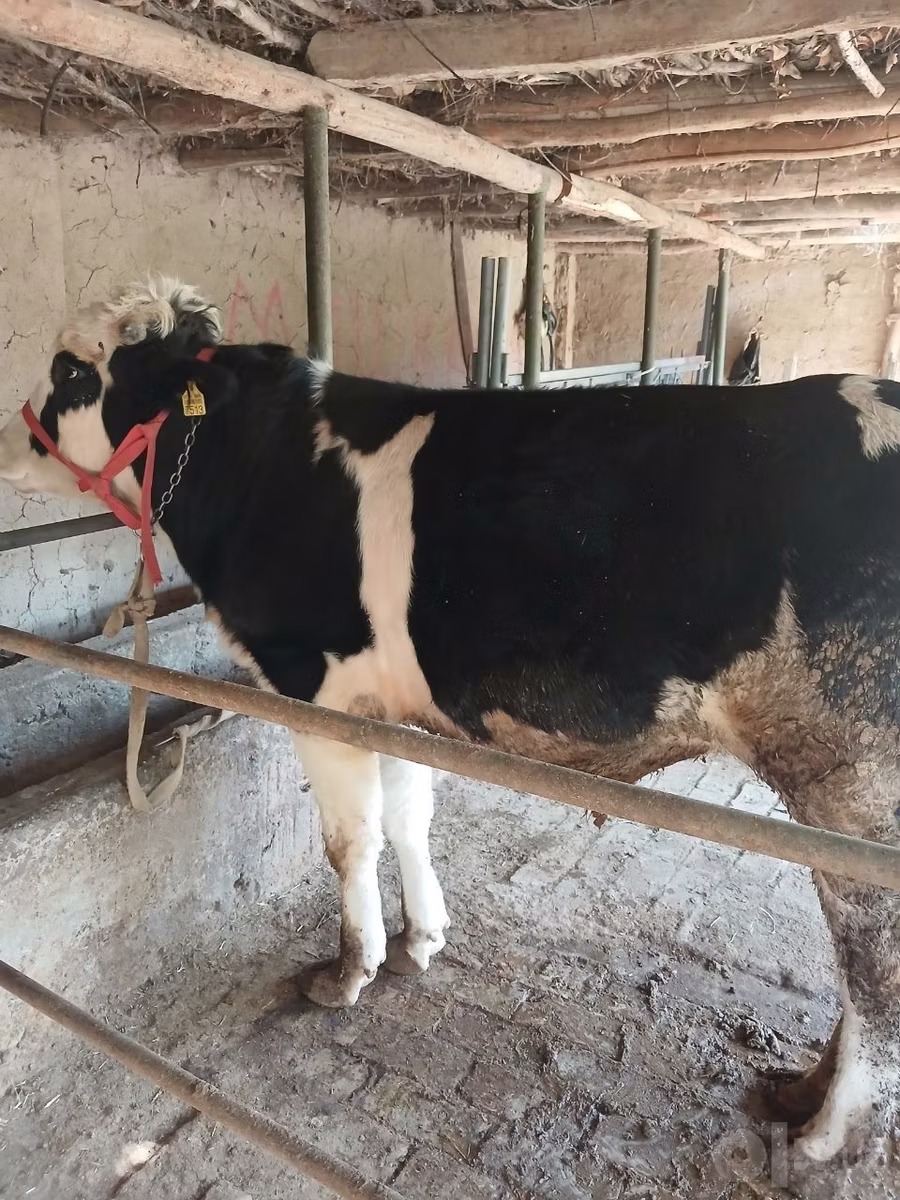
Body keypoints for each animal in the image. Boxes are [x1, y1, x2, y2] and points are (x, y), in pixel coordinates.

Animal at [1, 276, 898, 1166]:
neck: (261, 463)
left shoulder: (314, 694)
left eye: (72, 370)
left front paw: (348, 972)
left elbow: (350, 841)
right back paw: (799, 1091)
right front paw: (421, 940)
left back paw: (825, 1135)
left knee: (873, 972)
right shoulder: (388, 708)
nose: (10, 443)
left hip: (854, 780)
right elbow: (409, 818)